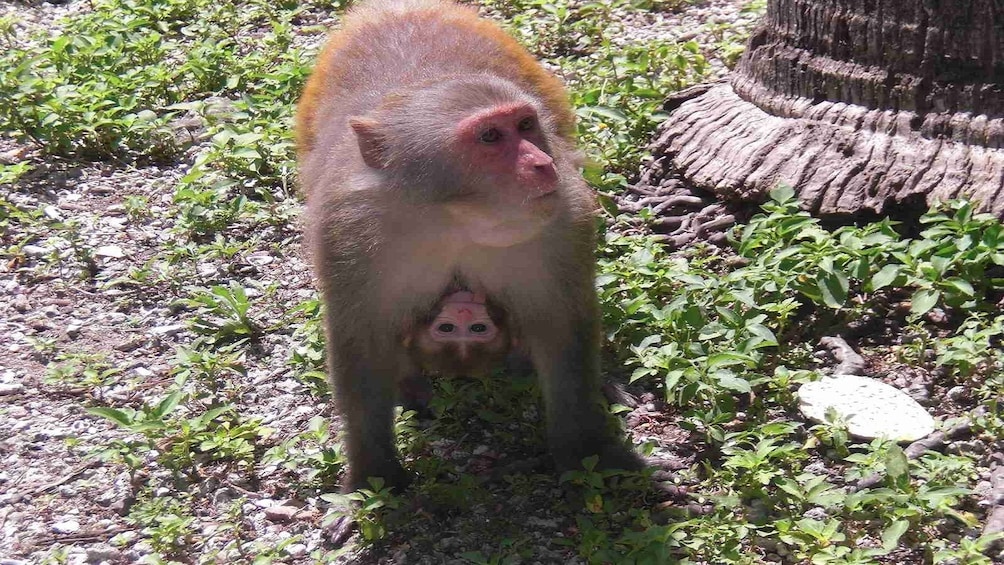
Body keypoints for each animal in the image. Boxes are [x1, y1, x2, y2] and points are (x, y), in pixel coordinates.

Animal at [297, 0, 642, 493]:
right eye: (490, 137)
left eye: (525, 125)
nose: (543, 164)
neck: (452, 218)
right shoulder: (347, 233)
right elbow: (361, 342)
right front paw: (373, 475)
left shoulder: (563, 219)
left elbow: (561, 326)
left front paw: (585, 450)